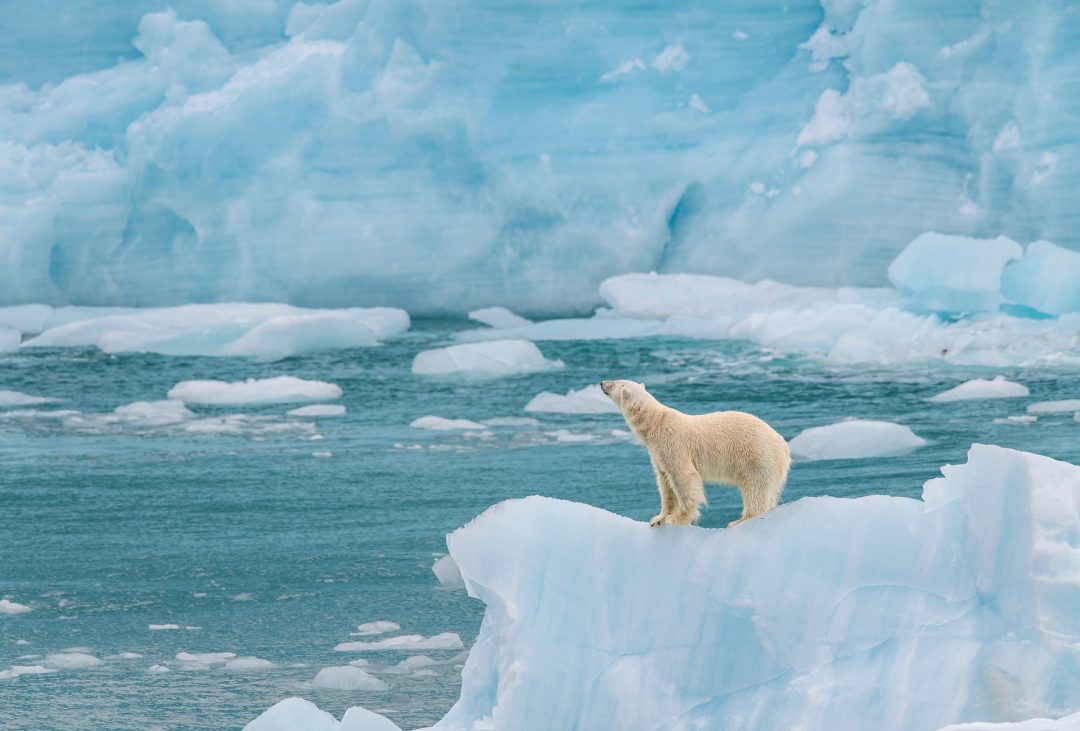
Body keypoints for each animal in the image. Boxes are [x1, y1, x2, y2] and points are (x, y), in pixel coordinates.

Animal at [600, 380, 790, 528]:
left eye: (615, 382)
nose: (602, 382)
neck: (656, 423)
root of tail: (784, 446)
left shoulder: (673, 444)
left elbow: (683, 477)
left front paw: (678, 518)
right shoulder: (658, 454)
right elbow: (665, 483)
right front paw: (658, 519)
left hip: (757, 456)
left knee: (755, 487)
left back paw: (739, 520)